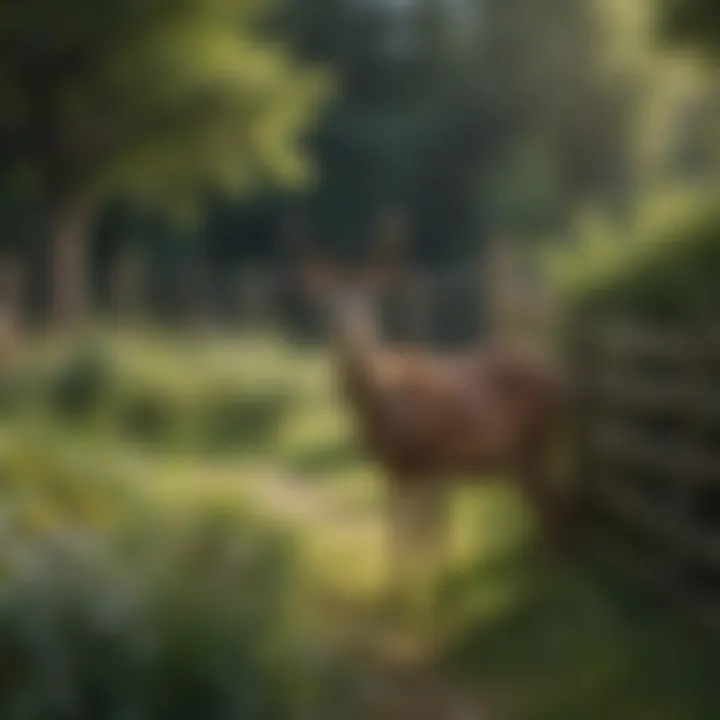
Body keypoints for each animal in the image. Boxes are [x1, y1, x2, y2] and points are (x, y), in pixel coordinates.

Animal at [290, 217, 572, 616]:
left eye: (370, 300)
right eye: (327, 303)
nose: (345, 331)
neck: (386, 406)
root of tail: (561, 380)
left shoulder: (436, 457)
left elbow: (429, 534)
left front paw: (438, 596)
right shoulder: (394, 469)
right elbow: (397, 533)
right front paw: (396, 596)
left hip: (538, 441)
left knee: (554, 501)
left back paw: (553, 578)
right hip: (520, 456)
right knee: (545, 502)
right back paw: (544, 575)